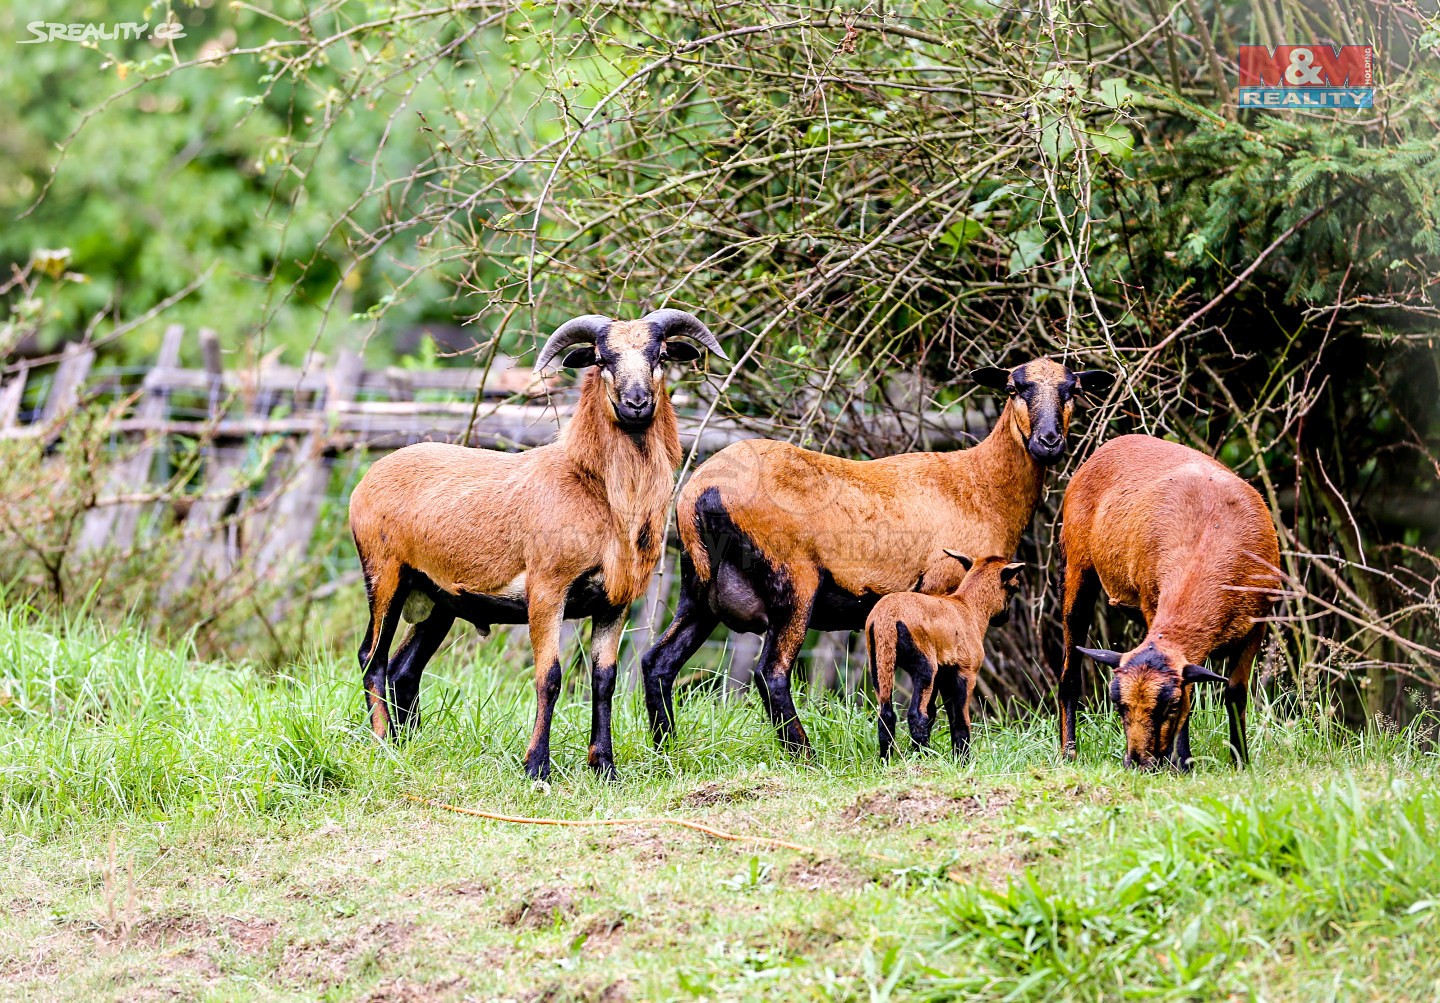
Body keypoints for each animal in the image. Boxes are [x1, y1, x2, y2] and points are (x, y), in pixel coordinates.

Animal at [347, 309, 725, 777]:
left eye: (660, 356)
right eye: (602, 359)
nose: (636, 403)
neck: (595, 490)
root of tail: (367, 480)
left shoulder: (613, 602)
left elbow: (604, 680)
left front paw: (605, 768)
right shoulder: (547, 589)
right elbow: (550, 676)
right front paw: (537, 768)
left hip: (439, 599)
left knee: (404, 669)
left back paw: (407, 745)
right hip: (385, 576)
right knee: (372, 658)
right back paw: (383, 744)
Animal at [864, 546, 1025, 759]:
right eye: (1014, 587)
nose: (1004, 619)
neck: (969, 608)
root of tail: (887, 618)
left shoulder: (944, 675)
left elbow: (938, 713)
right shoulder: (966, 672)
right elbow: (960, 719)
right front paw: (963, 759)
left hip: (878, 663)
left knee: (886, 714)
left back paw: (888, 758)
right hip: (924, 667)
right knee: (916, 715)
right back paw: (924, 757)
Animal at [1059, 434, 1284, 771]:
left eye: (1170, 705)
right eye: (1119, 706)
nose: (1138, 763)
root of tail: (1112, 443)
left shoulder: (1257, 624)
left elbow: (1234, 693)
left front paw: (1240, 762)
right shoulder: (1152, 603)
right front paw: (1183, 762)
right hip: (1078, 566)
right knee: (1069, 673)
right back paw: (1068, 753)